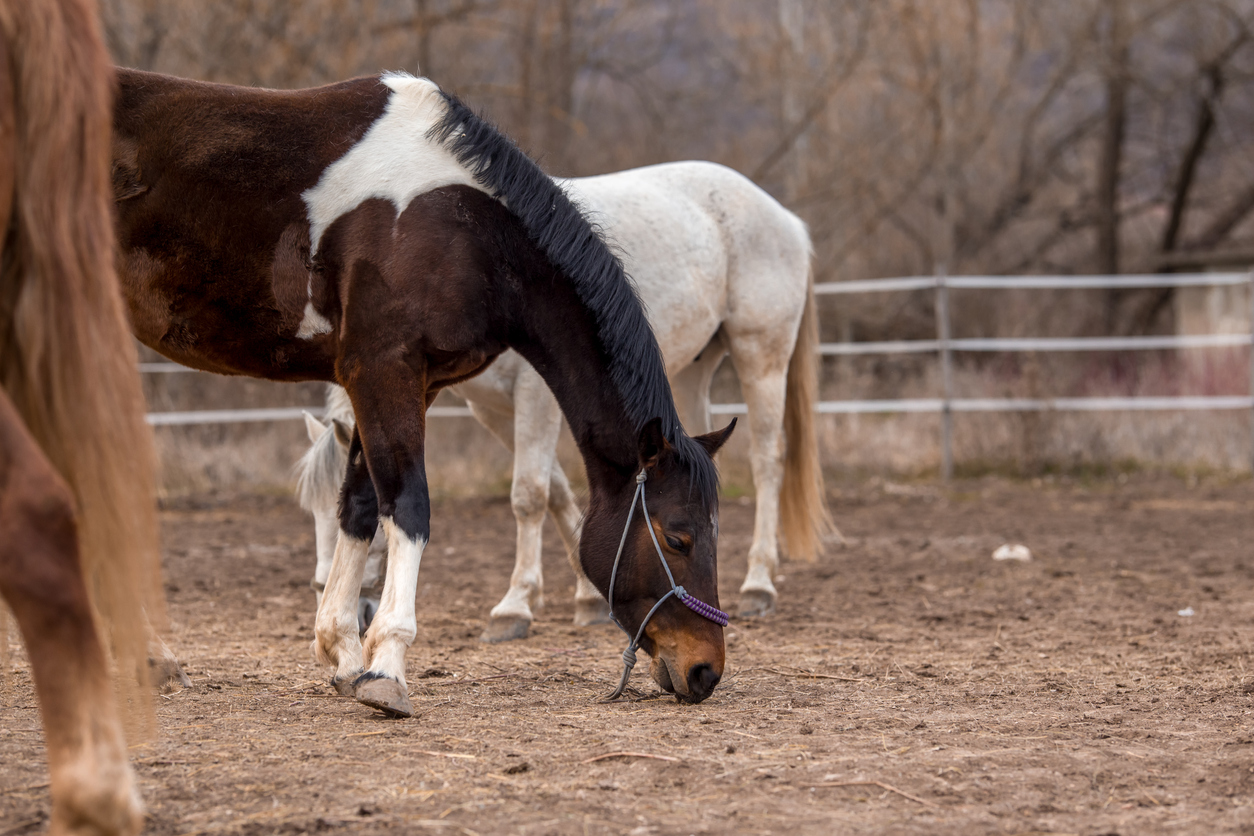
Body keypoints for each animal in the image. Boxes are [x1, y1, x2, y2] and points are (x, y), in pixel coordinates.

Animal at [111, 68, 735, 715]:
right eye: (678, 536)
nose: (705, 670)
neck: (459, 227)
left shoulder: (410, 384)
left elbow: (360, 507)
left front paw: (344, 654)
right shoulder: (383, 372)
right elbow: (409, 508)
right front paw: (387, 664)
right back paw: (154, 658)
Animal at [297, 161, 833, 642]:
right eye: (317, 509)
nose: (347, 606)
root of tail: (785, 218)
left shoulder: (536, 398)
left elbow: (528, 496)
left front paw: (514, 608)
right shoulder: (494, 411)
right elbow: (555, 491)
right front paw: (591, 596)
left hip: (761, 357)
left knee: (768, 461)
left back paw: (758, 583)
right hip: (693, 372)